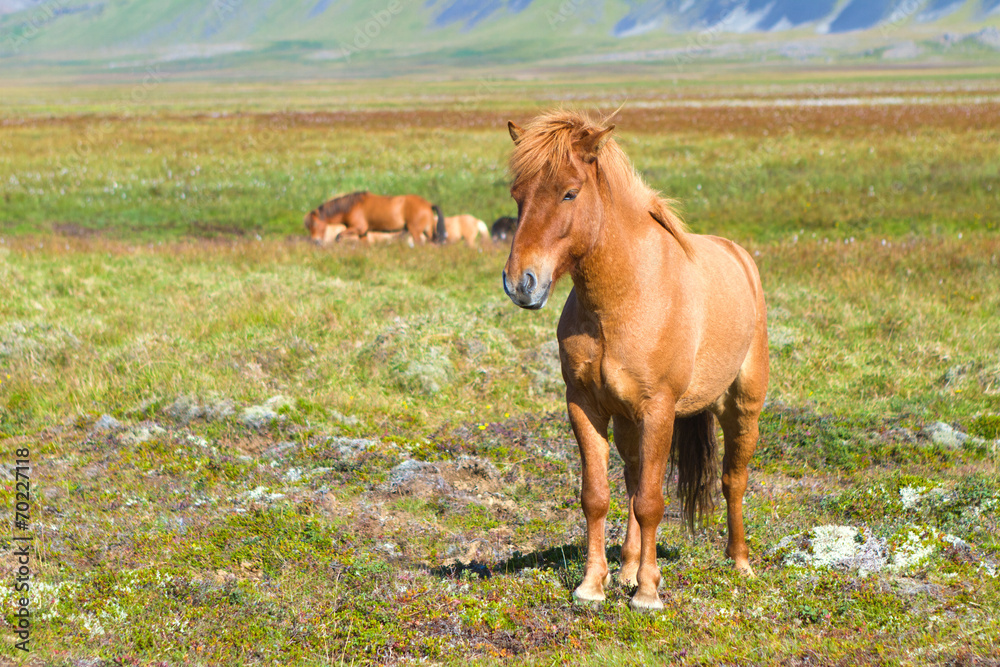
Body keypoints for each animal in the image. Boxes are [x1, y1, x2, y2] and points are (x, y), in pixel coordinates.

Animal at [304, 191, 445, 244]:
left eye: (315, 224)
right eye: (308, 227)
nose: (315, 241)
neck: (352, 206)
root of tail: (428, 204)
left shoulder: (359, 228)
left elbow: (338, 236)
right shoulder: (363, 233)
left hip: (415, 231)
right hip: (427, 231)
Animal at [502, 110, 769, 612]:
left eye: (570, 192)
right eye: (517, 194)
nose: (520, 283)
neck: (624, 297)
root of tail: (739, 255)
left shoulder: (659, 409)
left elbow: (651, 502)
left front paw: (648, 592)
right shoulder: (585, 405)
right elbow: (598, 496)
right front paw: (593, 585)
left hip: (742, 407)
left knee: (733, 480)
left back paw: (739, 562)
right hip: (628, 421)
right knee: (631, 477)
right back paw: (625, 568)